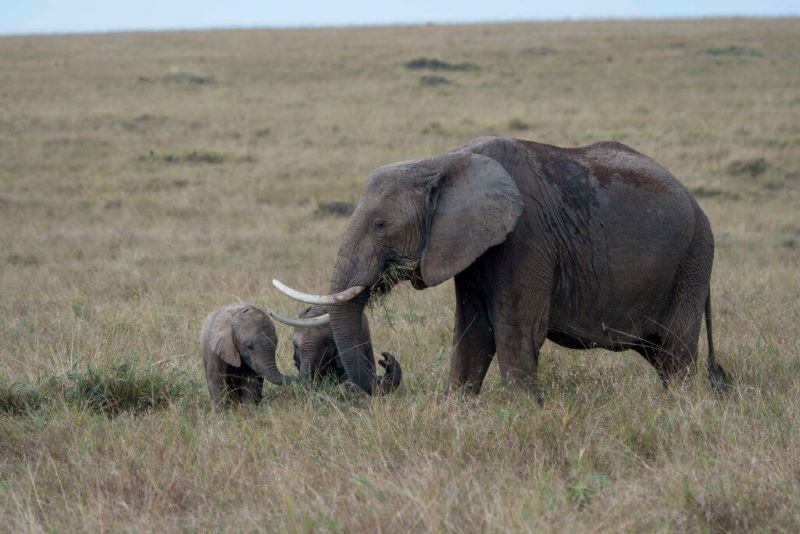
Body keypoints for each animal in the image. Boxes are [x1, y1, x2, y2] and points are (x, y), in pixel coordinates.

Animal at [274, 138, 724, 398]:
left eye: (381, 225)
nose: (387, 360)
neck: (442, 161)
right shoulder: (468, 246)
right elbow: (473, 330)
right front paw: (458, 409)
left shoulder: (527, 236)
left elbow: (514, 327)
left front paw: (522, 415)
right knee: (661, 354)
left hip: (692, 259)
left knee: (676, 350)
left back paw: (679, 409)